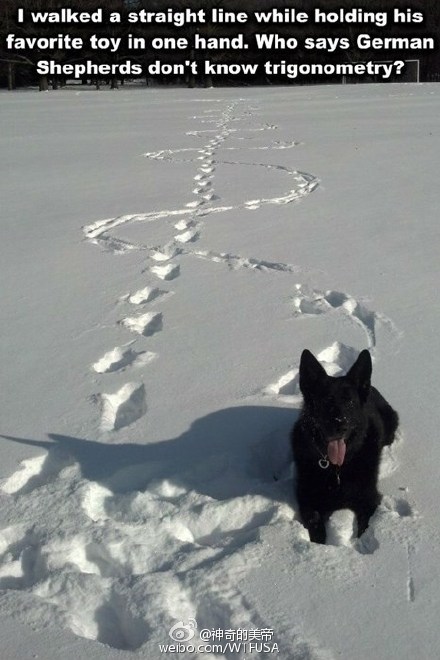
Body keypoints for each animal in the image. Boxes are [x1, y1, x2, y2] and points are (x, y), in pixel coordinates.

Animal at [292, 348, 398, 544]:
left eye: (350, 402)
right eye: (326, 401)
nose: (340, 426)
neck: (336, 468)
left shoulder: (369, 499)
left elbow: (365, 528)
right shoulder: (306, 499)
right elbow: (315, 523)